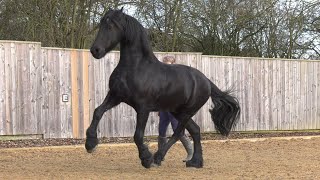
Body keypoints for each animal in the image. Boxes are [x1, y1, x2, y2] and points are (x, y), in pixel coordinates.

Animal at [85, 8, 240, 169]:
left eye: (111, 26)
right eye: (101, 24)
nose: (95, 50)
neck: (135, 68)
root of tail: (206, 81)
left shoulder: (143, 108)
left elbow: (138, 135)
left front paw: (146, 158)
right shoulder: (115, 96)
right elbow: (98, 112)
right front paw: (90, 144)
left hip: (187, 112)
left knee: (178, 133)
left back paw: (158, 158)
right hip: (177, 111)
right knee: (195, 130)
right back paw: (195, 162)